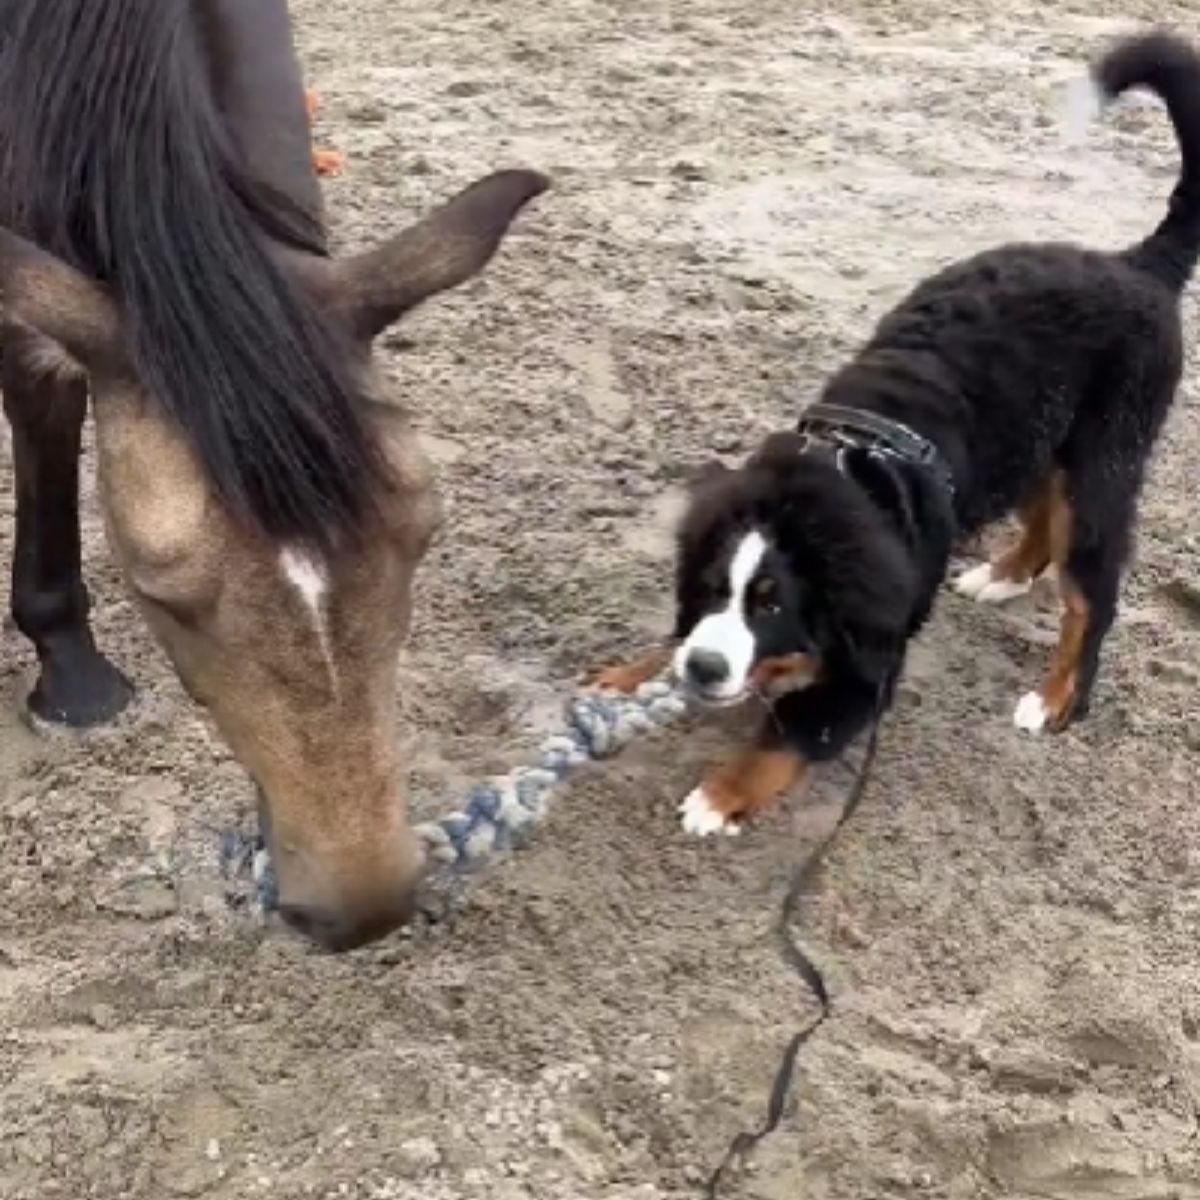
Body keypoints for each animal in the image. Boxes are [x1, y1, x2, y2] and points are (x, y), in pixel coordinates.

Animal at [595, 28, 1200, 835]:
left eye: (773, 604)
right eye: (714, 586)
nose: (705, 669)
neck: (844, 470)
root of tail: (1136, 265)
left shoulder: (869, 665)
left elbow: (791, 735)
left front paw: (718, 797)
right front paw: (630, 678)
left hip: (1103, 466)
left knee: (1090, 600)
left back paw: (1055, 700)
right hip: (1036, 443)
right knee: (1041, 518)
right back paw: (1003, 575)